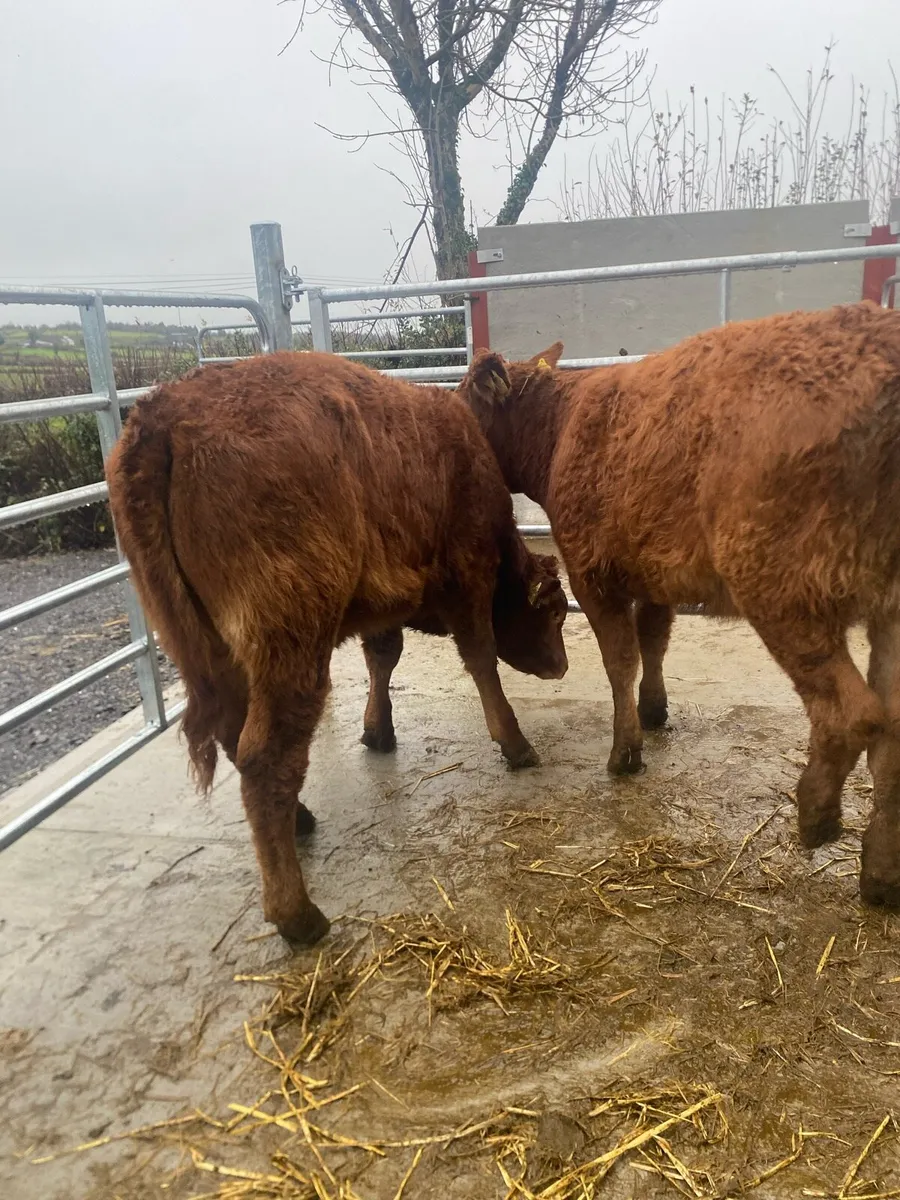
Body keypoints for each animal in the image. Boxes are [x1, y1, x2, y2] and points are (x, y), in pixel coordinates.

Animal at [106, 351, 568, 945]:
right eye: (555, 611)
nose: (560, 666)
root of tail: (162, 415)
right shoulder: (469, 573)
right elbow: (481, 658)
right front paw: (515, 743)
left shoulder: (382, 603)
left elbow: (383, 656)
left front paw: (378, 731)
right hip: (290, 645)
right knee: (265, 756)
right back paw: (298, 914)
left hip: (209, 650)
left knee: (234, 733)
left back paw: (300, 821)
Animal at [460, 302, 900, 910]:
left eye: (461, 406)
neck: (560, 428)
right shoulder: (650, 573)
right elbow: (654, 639)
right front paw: (654, 710)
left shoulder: (592, 574)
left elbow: (620, 661)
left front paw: (625, 752)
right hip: (887, 606)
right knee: (893, 730)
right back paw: (880, 872)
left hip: (781, 587)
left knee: (852, 714)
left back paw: (815, 815)